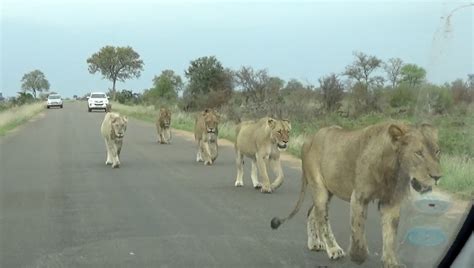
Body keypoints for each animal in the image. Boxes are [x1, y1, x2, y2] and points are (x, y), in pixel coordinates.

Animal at [272, 122, 442, 268]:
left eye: (437, 151)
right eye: (418, 153)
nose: (438, 176)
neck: (393, 169)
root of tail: (308, 141)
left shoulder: (391, 202)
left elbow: (390, 235)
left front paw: (391, 262)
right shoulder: (359, 197)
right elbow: (358, 229)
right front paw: (358, 257)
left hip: (329, 190)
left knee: (312, 212)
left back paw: (314, 243)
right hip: (319, 188)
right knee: (323, 218)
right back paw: (333, 249)